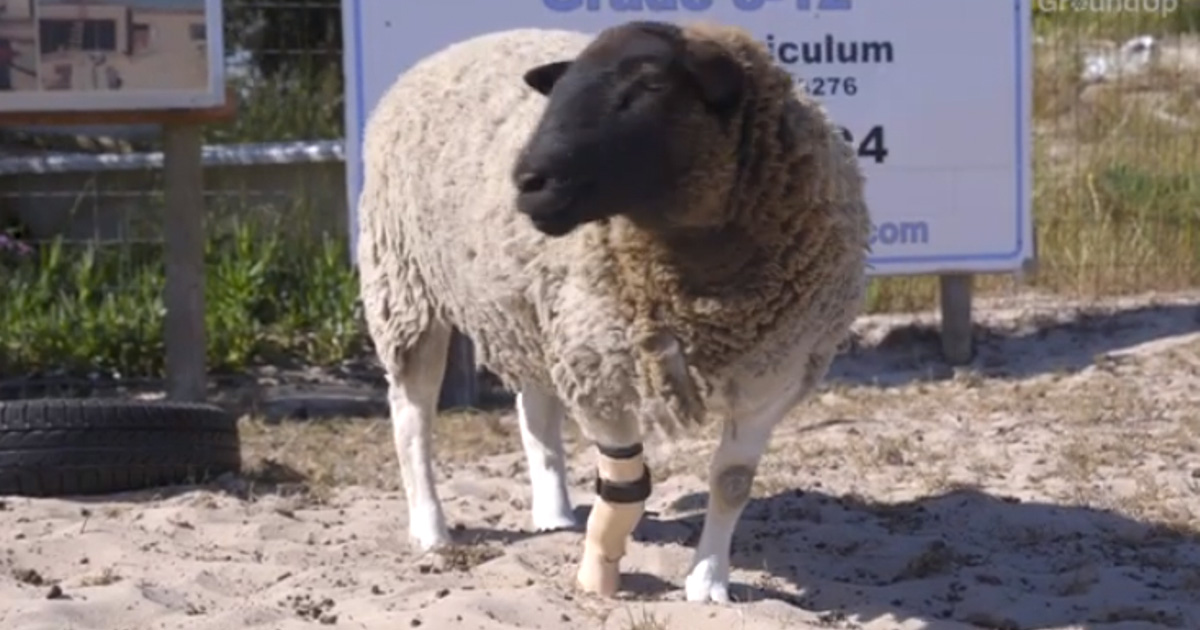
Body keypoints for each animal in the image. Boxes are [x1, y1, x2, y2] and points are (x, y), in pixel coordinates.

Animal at [357, 19, 871, 603]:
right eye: (560, 89)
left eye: (651, 85)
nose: (527, 183)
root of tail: (452, 48)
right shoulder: (600, 366)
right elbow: (627, 486)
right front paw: (597, 575)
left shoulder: (774, 373)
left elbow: (732, 482)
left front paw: (708, 581)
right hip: (403, 284)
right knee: (412, 417)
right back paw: (431, 529)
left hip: (527, 307)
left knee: (535, 410)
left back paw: (554, 513)